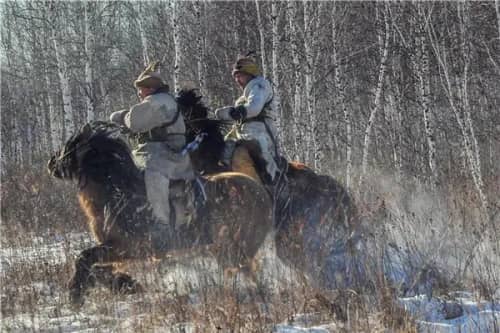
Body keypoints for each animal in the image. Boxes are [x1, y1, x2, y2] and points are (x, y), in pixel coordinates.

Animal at [48, 120, 272, 304]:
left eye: (70, 145)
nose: (51, 163)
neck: (119, 191)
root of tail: (260, 192)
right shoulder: (114, 248)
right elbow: (97, 266)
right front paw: (124, 284)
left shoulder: (129, 247)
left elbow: (85, 258)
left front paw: (76, 292)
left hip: (233, 248)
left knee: (245, 271)